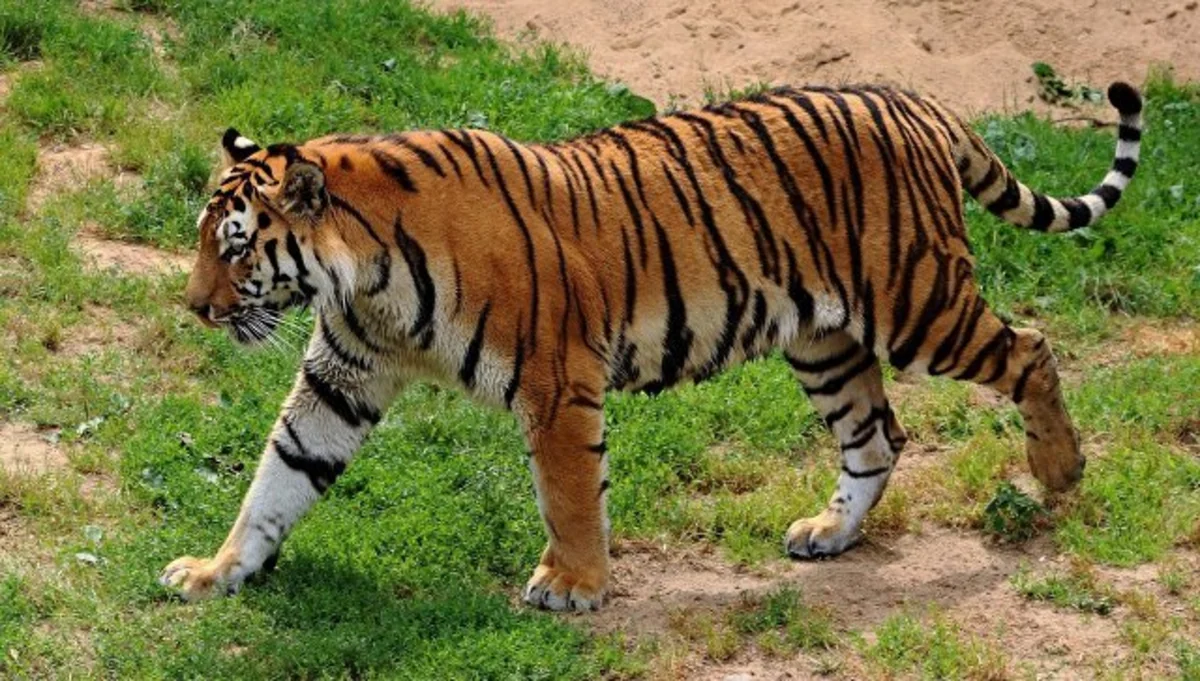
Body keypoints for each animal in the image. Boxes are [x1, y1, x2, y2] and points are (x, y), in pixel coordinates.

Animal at [162, 81, 1143, 611]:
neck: (364, 279)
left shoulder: (556, 382)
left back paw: (1059, 470)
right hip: (824, 340)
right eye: (208, 239)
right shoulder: (344, 376)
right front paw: (217, 570)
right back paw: (829, 532)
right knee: (876, 438)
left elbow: (567, 494)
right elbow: (277, 479)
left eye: (237, 246)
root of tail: (913, 100)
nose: (197, 307)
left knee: (1029, 347)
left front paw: (573, 584)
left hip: (917, 304)